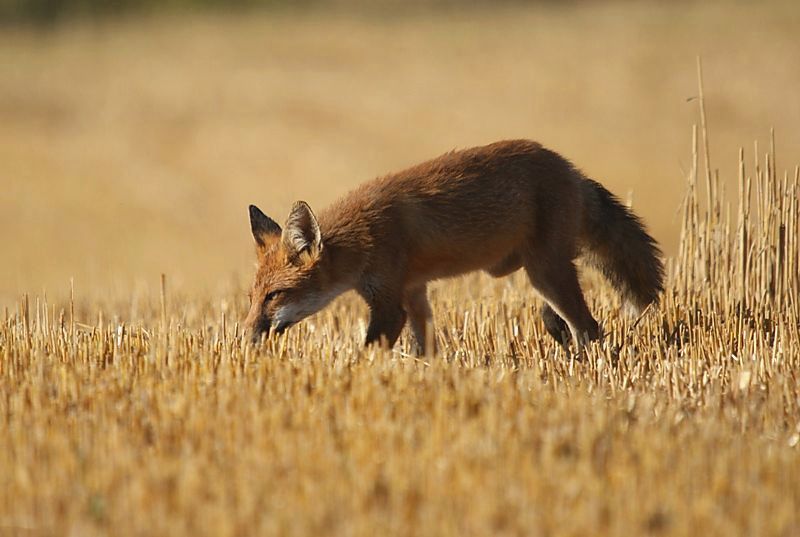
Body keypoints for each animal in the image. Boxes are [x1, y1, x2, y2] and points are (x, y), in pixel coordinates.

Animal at [244, 139, 664, 352]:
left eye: (275, 296)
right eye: (252, 297)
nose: (245, 338)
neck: (362, 233)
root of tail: (573, 171)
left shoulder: (389, 303)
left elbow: (367, 351)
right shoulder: (413, 292)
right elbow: (425, 346)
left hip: (545, 272)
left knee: (589, 328)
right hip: (539, 270)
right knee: (566, 320)